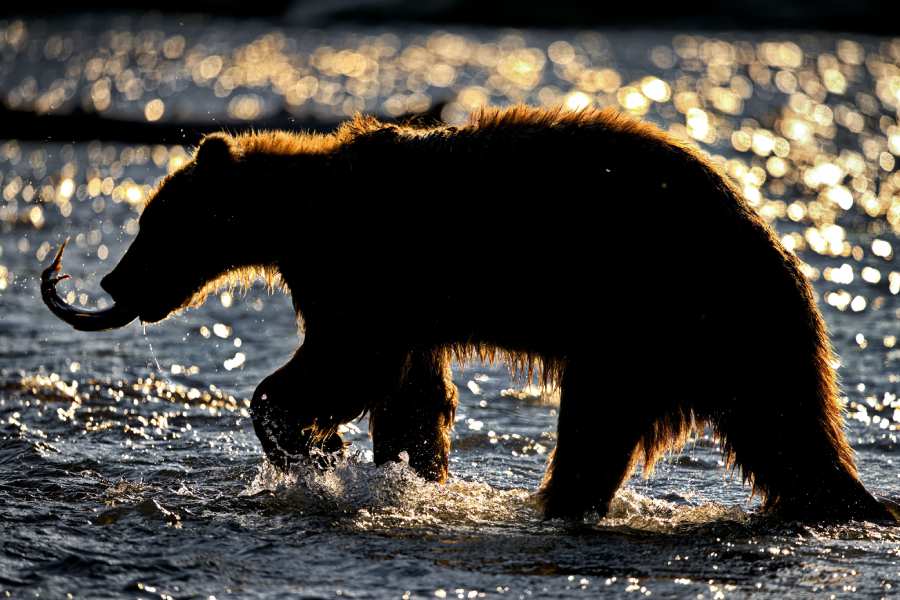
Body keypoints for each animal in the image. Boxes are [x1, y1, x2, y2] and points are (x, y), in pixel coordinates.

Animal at [40, 105, 892, 524]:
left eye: (152, 222)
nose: (113, 276)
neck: (303, 214)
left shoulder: (369, 272)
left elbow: (345, 362)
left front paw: (309, 443)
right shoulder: (413, 307)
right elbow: (413, 393)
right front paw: (403, 466)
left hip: (653, 314)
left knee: (596, 422)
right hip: (710, 345)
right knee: (772, 438)